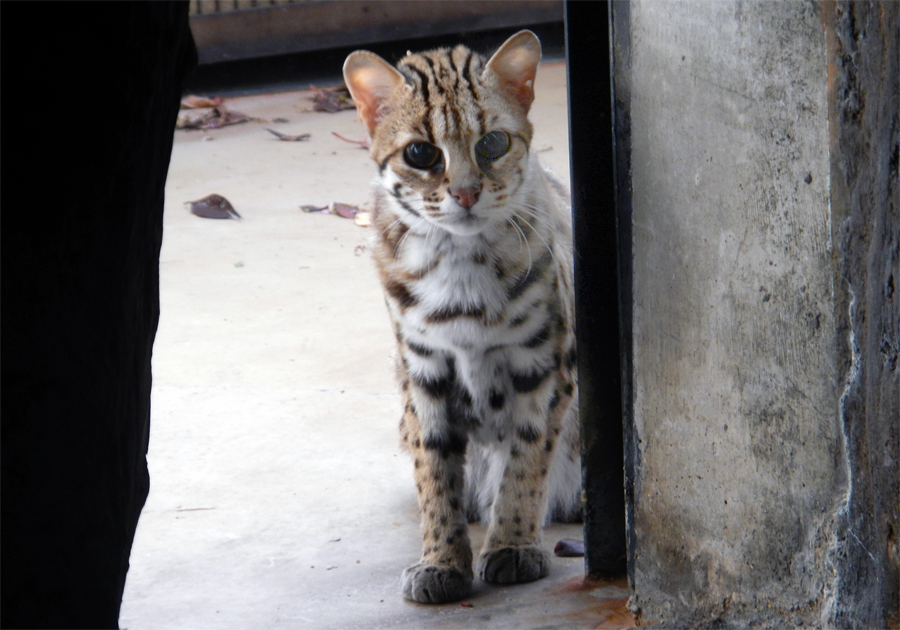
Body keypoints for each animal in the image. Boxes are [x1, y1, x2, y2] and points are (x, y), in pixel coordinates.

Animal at [342, 30, 580, 608]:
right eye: (420, 152)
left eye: (492, 143)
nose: (467, 192)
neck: (459, 261)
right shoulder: (422, 371)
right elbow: (434, 475)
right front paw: (441, 560)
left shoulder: (544, 364)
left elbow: (525, 458)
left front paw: (513, 544)